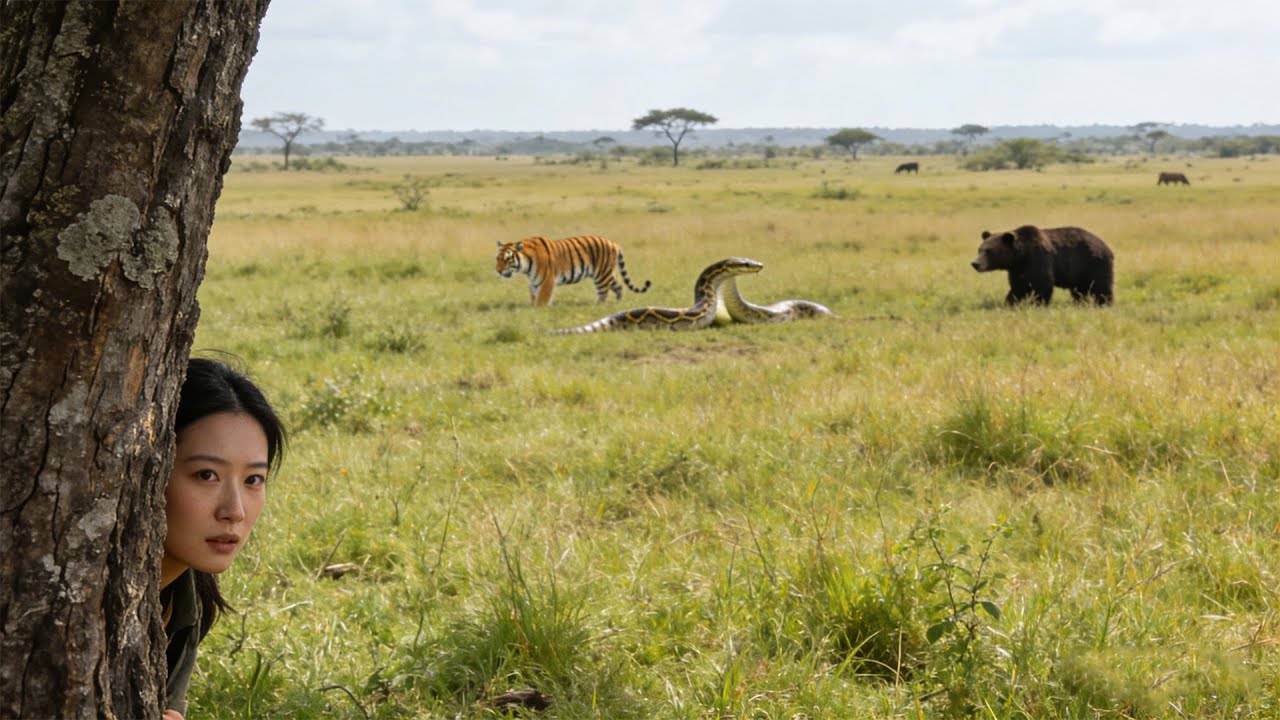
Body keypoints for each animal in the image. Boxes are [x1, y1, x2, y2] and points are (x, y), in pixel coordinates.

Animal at [495, 235, 651, 306]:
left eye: (507, 259)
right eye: (498, 258)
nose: (498, 271)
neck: (526, 267)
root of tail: (613, 243)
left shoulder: (547, 281)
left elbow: (542, 299)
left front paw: (539, 310)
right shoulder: (534, 282)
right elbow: (534, 297)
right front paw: (532, 308)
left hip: (601, 275)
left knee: (603, 292)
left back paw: (597, 306)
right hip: (605, 273)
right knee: (618, 286)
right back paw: (618, 302)